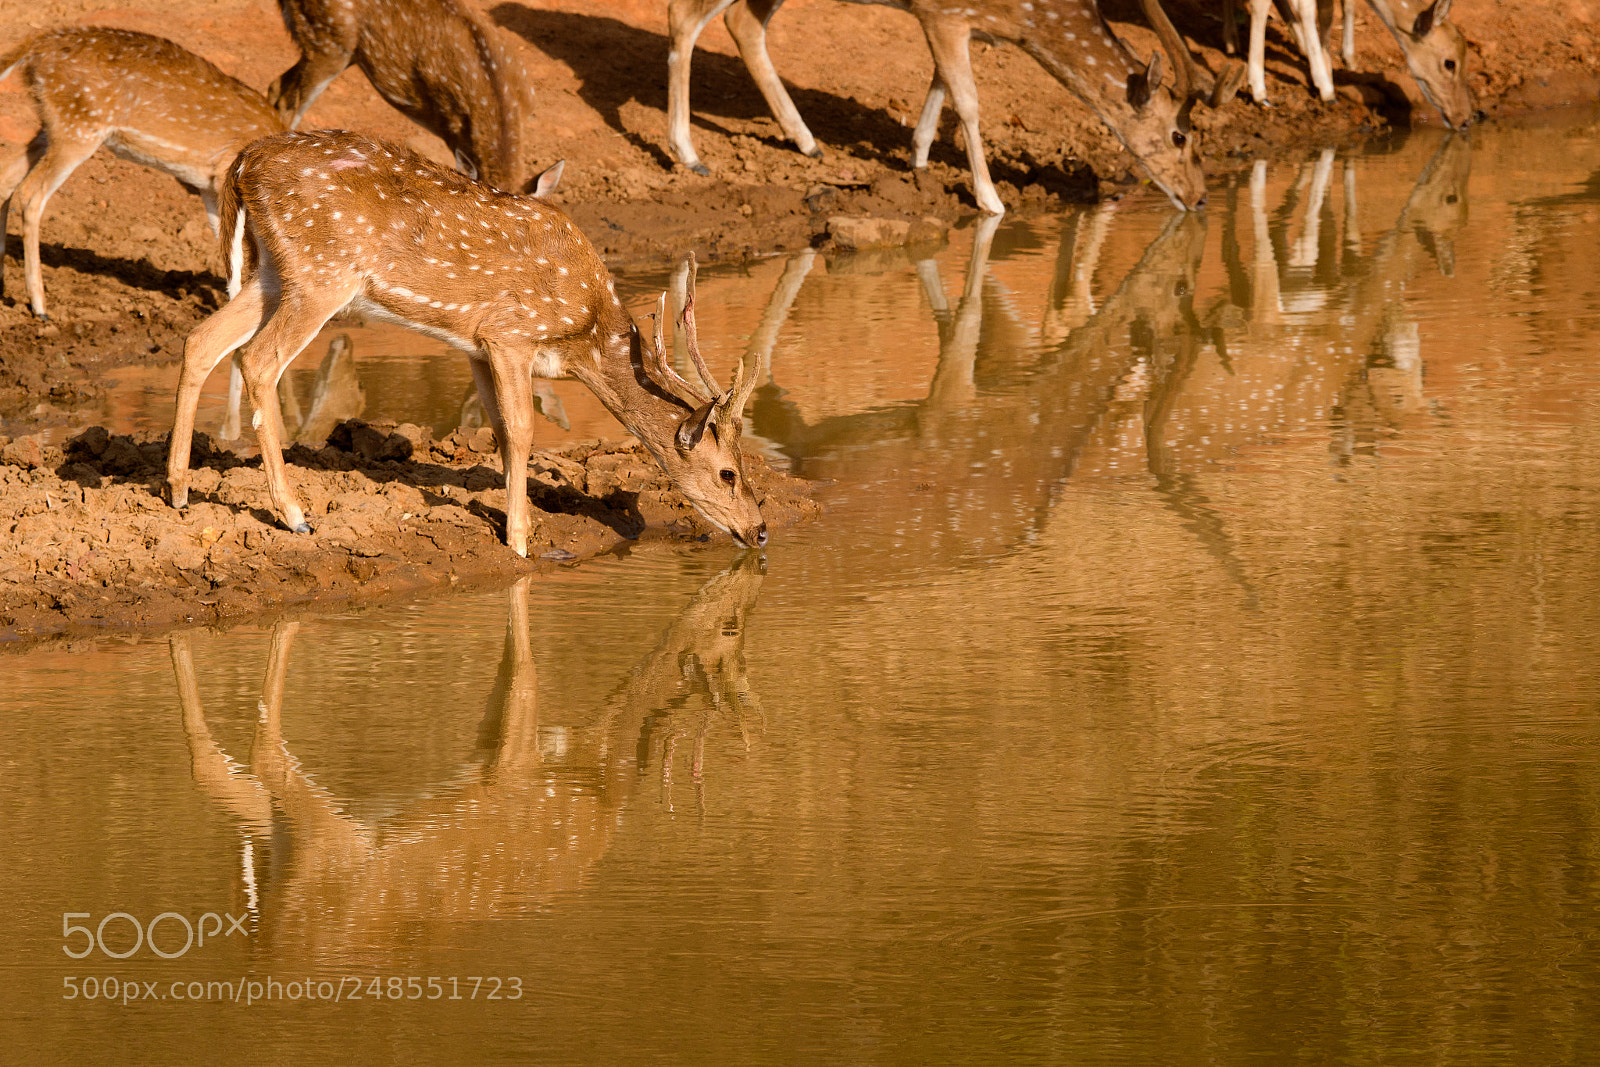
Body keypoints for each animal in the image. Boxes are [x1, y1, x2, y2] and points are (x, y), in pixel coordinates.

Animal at [0, 27, 286, 320]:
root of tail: (36, 47)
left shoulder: (209, 185)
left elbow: (226, 245)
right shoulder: (223, 176)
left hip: (52, 126)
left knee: (7, 178)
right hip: (78, 127)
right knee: (30, 193)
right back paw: (39, 305)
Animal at [166, 129, 769, 555]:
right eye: (728, 472)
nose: (761, 530)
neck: (585, 340)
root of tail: (243, 165)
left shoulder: (477, 344)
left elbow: (499, 430)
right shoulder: (511, 333)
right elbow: (523, 430)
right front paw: (521, 538)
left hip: (273, 273)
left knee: (201, 339)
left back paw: (178, 490)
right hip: (321, 273)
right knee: (257, 359)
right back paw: (294, 516)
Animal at [666, 0, 1243, 216]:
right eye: (1180, 135)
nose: (1200, 198)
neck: (1028, 21)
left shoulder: (950, 22)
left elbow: (940, 83)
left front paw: (918, 159)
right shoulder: (945, 13)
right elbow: (967, 99)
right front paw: (991, 200)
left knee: (742, 22)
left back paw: (808, 143)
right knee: (683, 15)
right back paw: (688, 153)